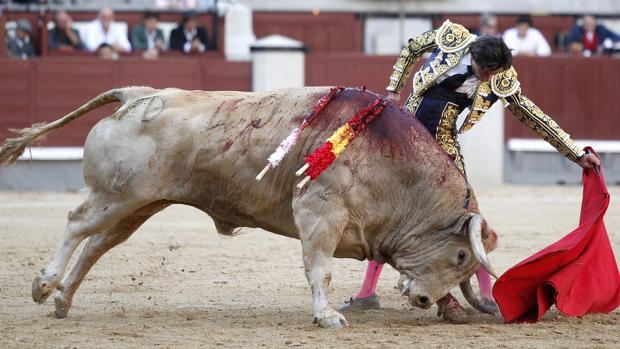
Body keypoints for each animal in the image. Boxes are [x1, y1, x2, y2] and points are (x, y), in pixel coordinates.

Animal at [0, 85, 496, 328]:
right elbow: (320, 269)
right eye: (460, 255)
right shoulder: (320, 214)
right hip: (116, 196)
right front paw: (327, 316)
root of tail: (137, 95)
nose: (424, 298)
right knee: (76, 224)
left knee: (97, 244)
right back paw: (44, 286)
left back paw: (63, 301)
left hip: (139, 204)